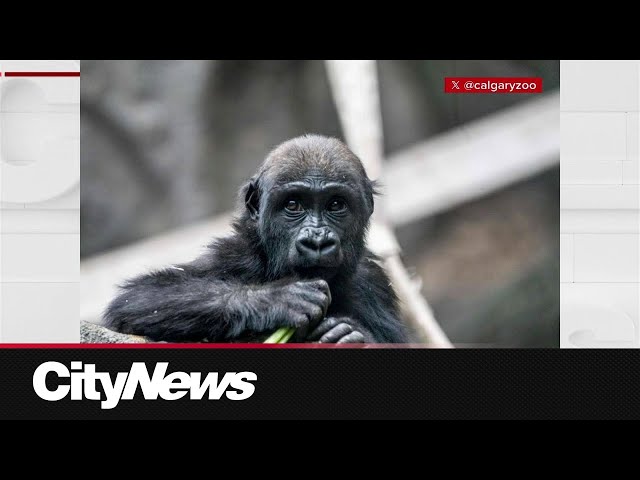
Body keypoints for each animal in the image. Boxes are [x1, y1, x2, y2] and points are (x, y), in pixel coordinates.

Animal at [103, 133, 408, 344]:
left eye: (336, 205)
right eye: (293, 204)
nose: (317, 241)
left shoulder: (373, 280)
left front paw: (350, 335)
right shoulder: (235, 254)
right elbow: (139, 299)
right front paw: (279, 300)